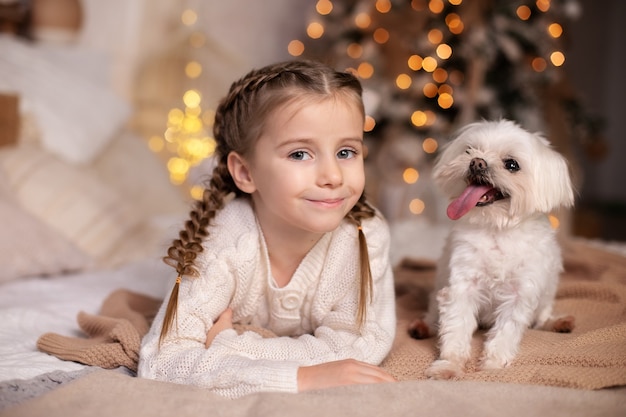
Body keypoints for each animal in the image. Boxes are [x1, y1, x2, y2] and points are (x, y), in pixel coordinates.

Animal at [410, 118, 576, 378]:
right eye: (469, 150)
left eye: (512, 164)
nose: (477, 162)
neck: (497, 230)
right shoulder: (462, 287)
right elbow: (456, 328)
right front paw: (449, 365)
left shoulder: (520, 294)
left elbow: (506, 332)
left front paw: (493, 365)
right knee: (433, 314)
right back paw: (422, 327)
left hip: (547, 293)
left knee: (541, 317)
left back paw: (557, 322)